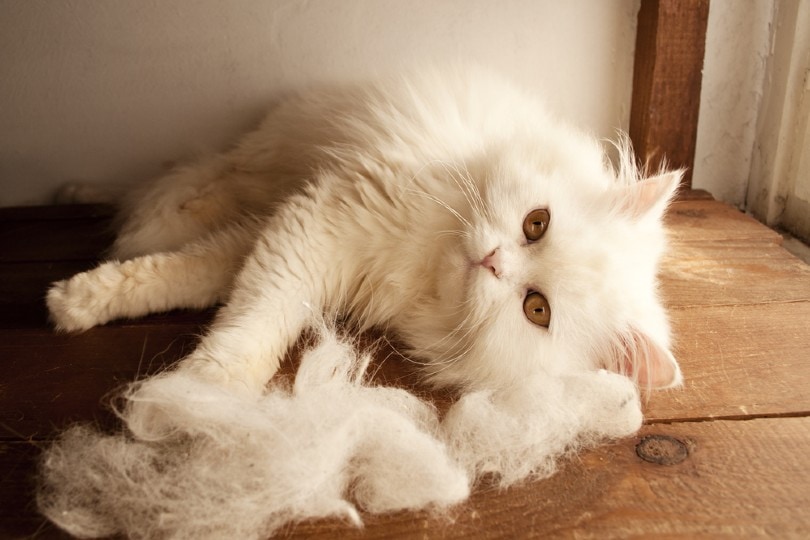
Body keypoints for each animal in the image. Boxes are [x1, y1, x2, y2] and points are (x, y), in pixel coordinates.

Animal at [47, 67, 680, 396]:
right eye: (536, 223)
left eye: (537, 309)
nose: (492, 260)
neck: (427, 269)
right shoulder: (322, 222)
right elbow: (257, 317)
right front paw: (208, 391)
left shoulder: (295, 234)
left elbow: (202, 287)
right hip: (264, 161)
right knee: (188, 180)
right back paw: (96, 205)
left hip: (264, 196)